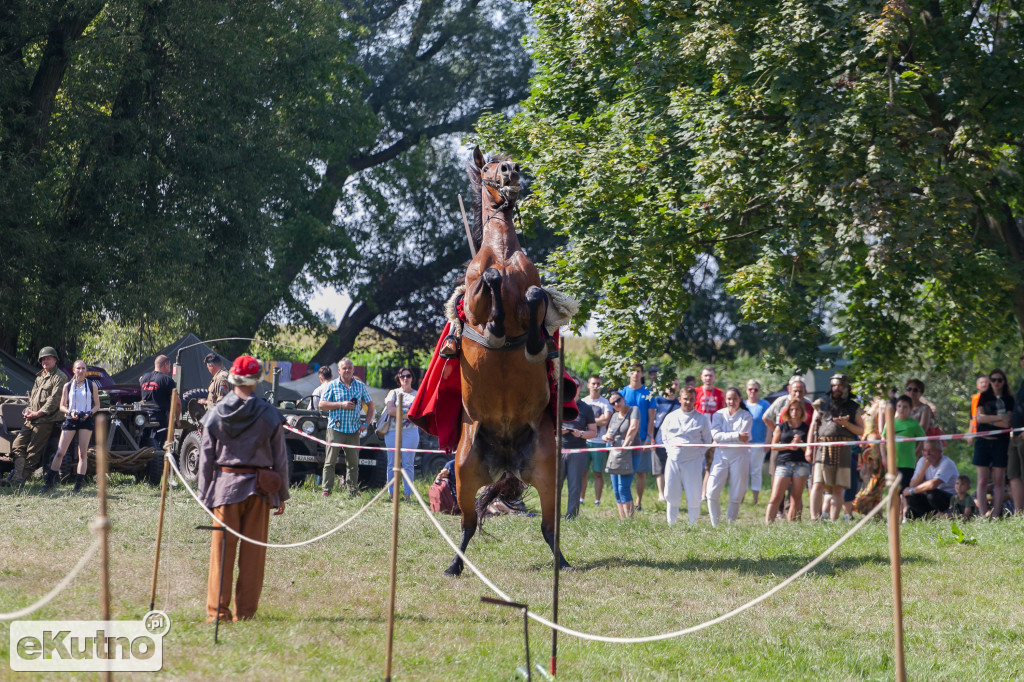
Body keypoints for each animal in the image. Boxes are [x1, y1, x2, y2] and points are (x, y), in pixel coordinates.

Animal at [442, 147, 569, 573]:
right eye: (489, 167)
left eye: (510, 161)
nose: (511, 171)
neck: (502, 251)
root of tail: (508, 461)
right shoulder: (476, 299)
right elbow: (491, 283)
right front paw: (497, 326)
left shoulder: (532, 291)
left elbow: (534, 296)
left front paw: (533, 342)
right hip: (464, 475)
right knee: (466, 526)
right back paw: (454, 566)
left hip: (547, 474)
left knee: (549, 528)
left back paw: (563, 562)